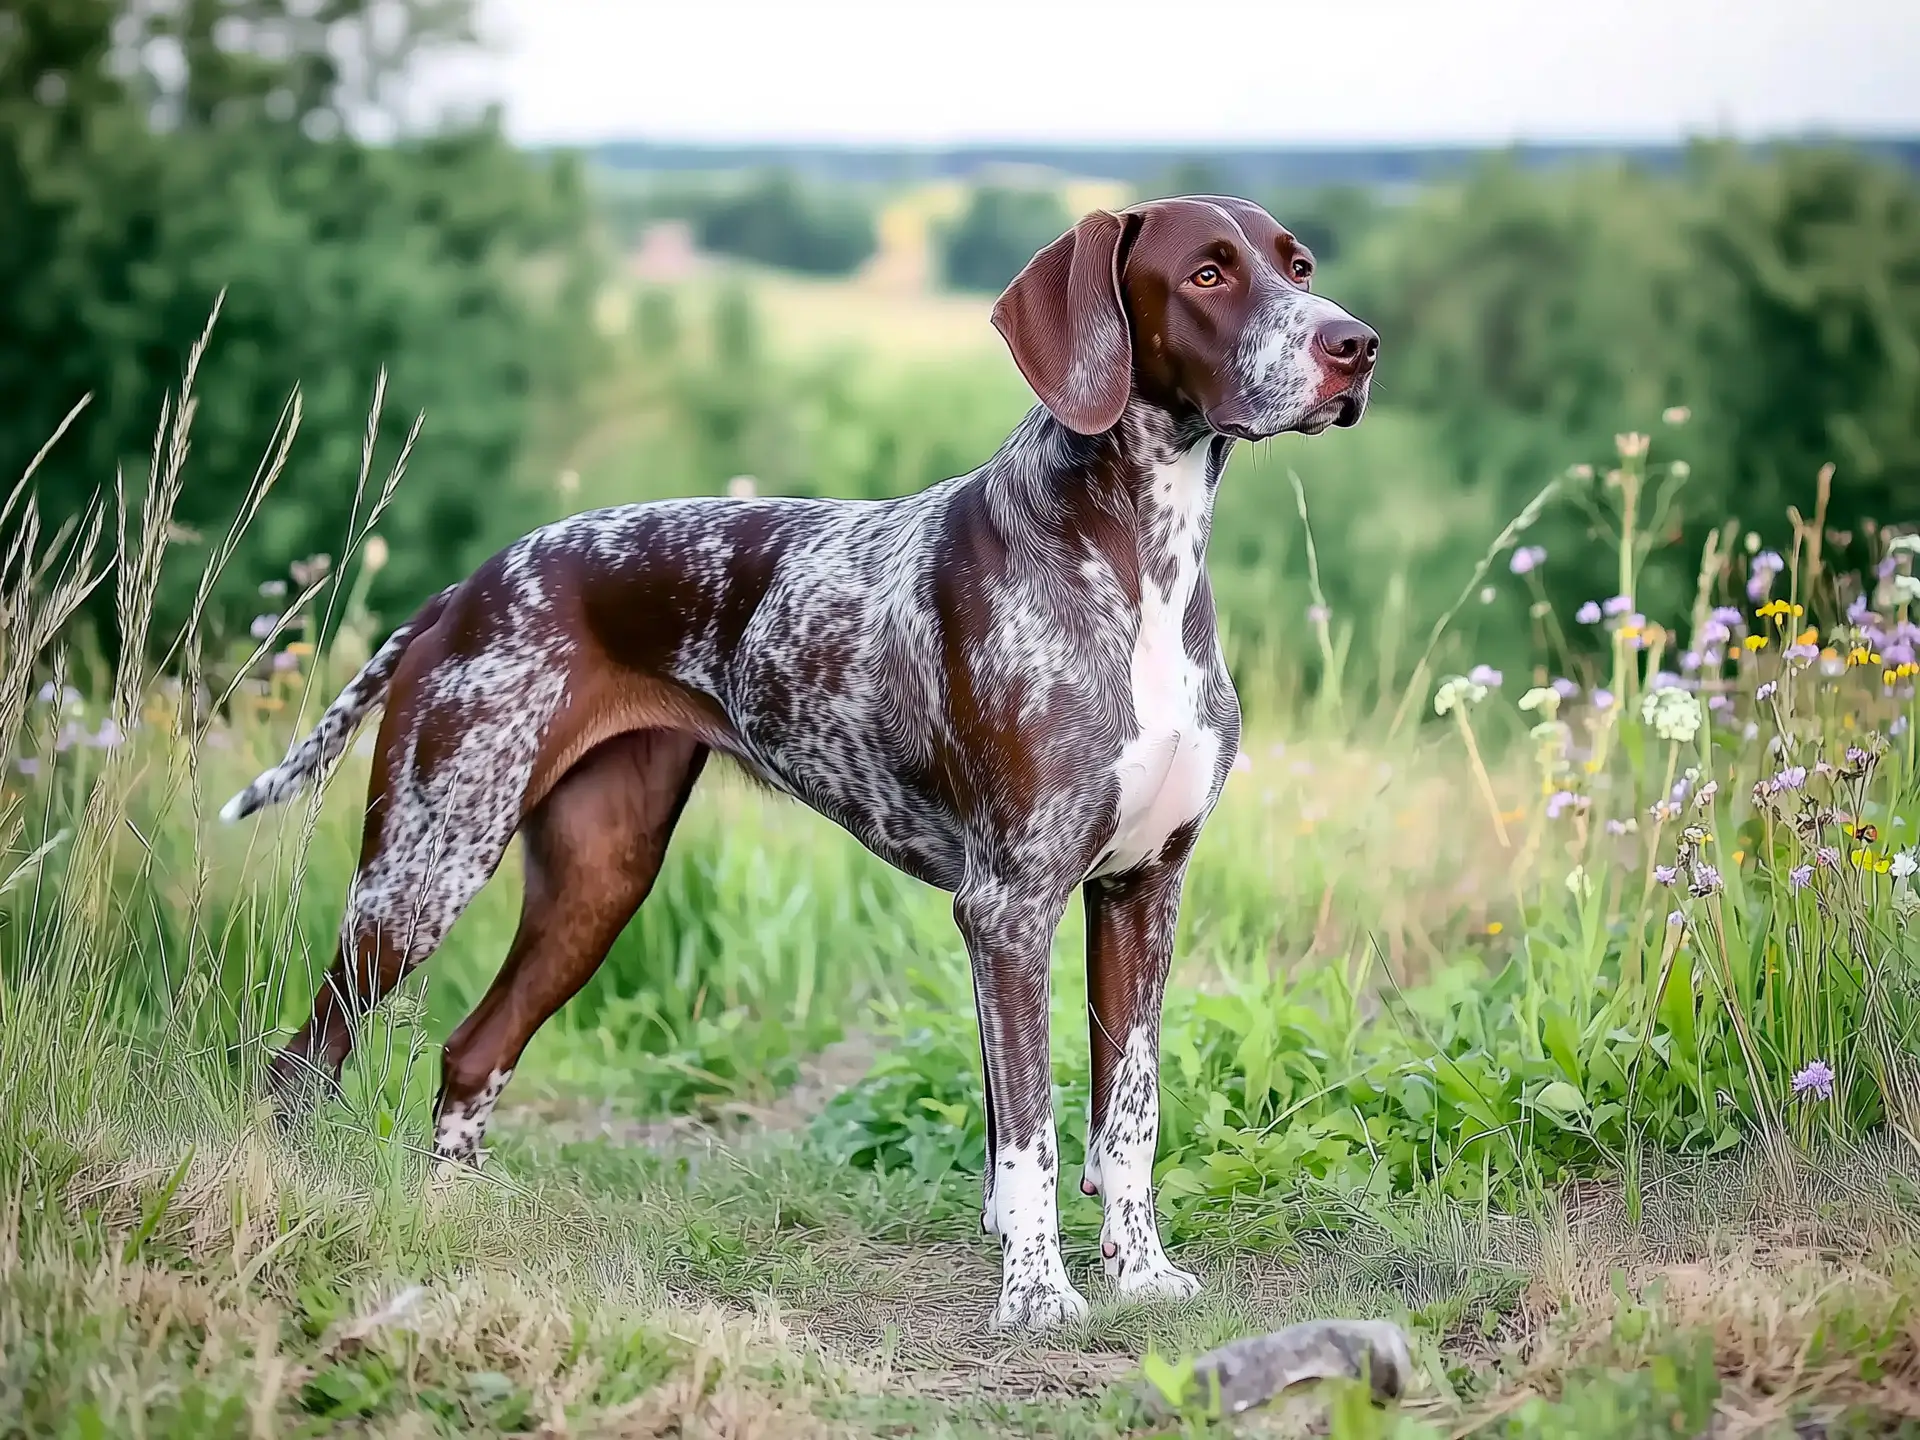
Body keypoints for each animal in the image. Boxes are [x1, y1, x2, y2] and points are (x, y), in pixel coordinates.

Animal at [224, 192, 1374, 1328]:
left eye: (1300, 266)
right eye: (1208, 274)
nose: (1356, 345)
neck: (1142, 564)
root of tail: (470, 583)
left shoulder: (1141, 890)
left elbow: (1127, 1115)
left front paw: (1138, 1273)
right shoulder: (1010, 903)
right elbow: (1032, 1133)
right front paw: (1036, 1292)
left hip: (596, 881)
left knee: (471, 1052)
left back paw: (456, 1220)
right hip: (425, 868)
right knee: (302, 1062)